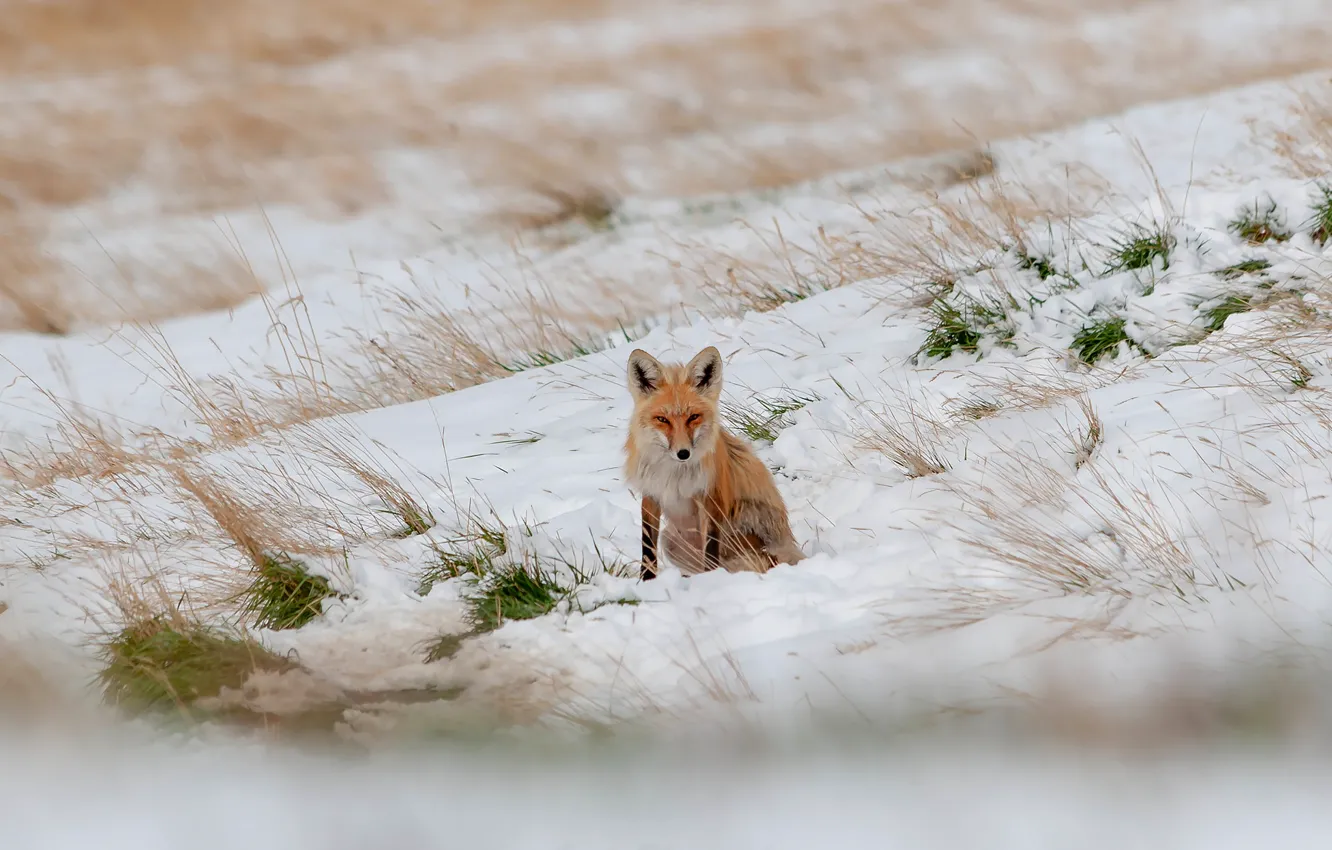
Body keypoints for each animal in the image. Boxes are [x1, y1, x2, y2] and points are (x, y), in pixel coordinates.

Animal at [624, 345, 806, 580]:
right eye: (662, 420)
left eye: (693, 417)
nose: (683, 453)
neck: (674, 474)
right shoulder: (651, 494)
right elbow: (647, 547)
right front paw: (646, 582)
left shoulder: (711, 497)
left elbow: (710, 548)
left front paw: (711, 580)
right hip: (671, 541)